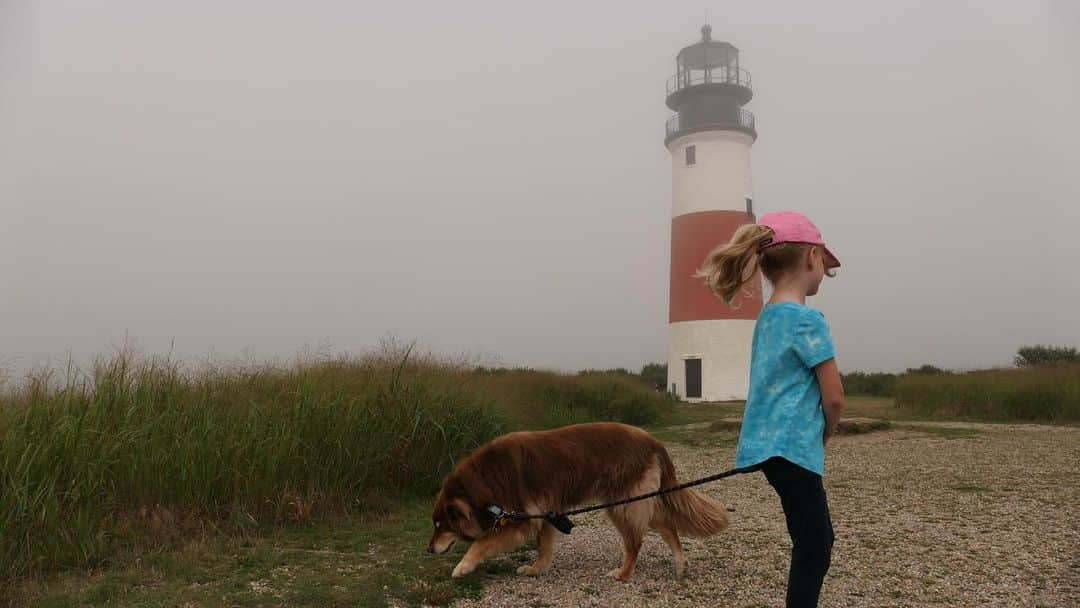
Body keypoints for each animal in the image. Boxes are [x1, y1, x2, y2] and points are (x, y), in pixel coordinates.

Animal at [425, 421, 730, 583]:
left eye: (440, 526)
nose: (428, 550)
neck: (486, 478)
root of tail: (652, 441)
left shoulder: (519, 518)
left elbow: (481, 542)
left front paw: (463, 566)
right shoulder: (543, 515)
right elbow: (543, 549)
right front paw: (536, 570)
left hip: (622, 504)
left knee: (636, 542)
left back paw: (623, 574)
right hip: (634, 501)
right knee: (667, 526)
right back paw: (680, 565)